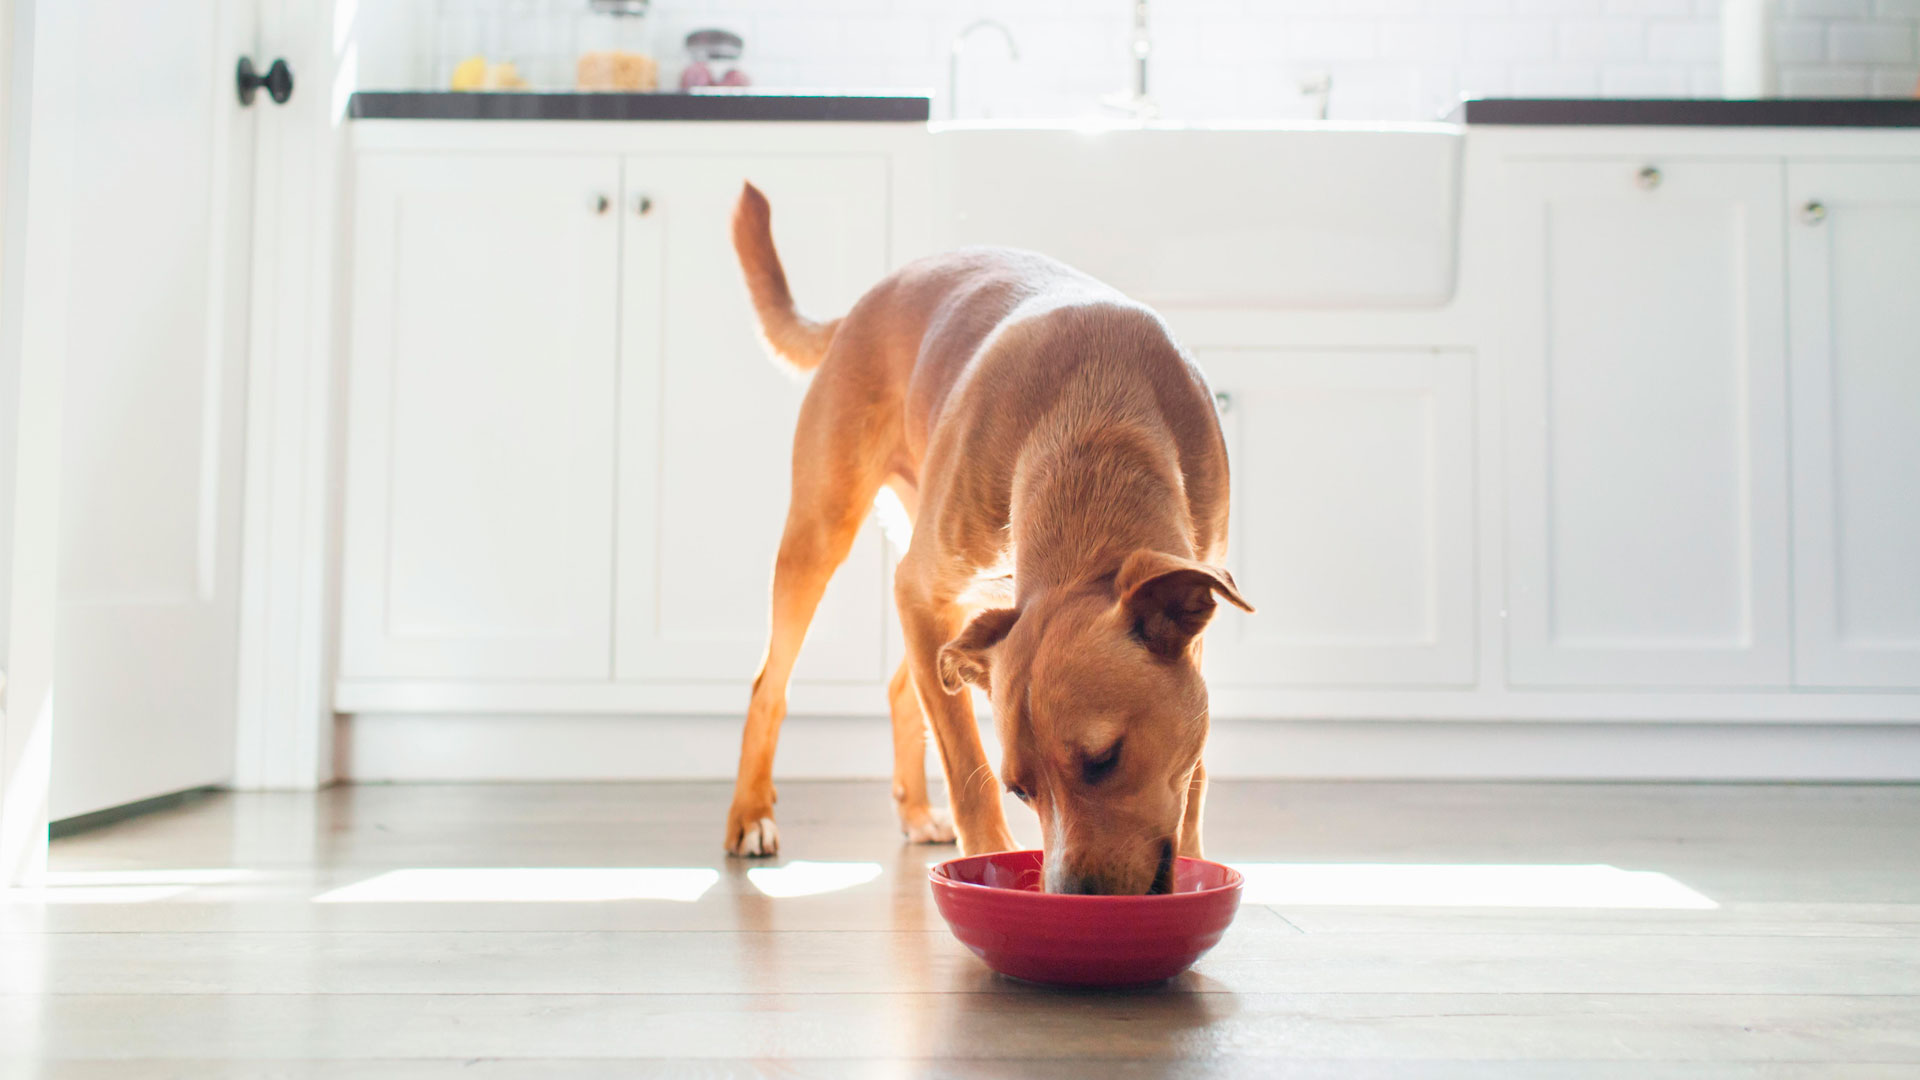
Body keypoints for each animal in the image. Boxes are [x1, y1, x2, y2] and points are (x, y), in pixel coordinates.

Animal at [718, 184, 1244, 891]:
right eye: (1021, 790)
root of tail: (859, 308)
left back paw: (915, 812)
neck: (1096, 425)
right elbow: (966, 767)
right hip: (822, 534)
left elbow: (1195, 770)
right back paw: (750, 815)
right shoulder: (919, 592)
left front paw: (1193, 855)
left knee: (903, 688)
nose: (1070, 897)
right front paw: (986, 858)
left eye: (1104, 759)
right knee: (770, 686)